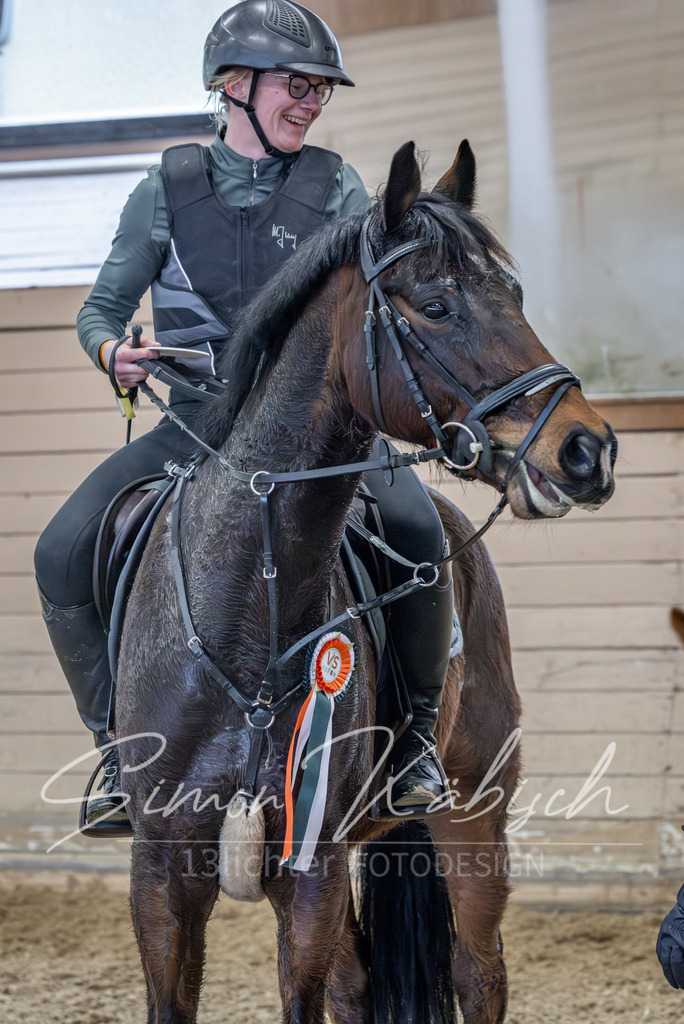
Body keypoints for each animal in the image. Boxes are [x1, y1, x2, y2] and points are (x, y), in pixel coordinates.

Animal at [114, 139, 616, 1024]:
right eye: (436, 306)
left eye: (515, 296)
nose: (586, 450)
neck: (247, 609)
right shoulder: (162, 873)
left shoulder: (312, 870)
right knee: (360, 987)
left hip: (475, 813)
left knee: (478, 971)